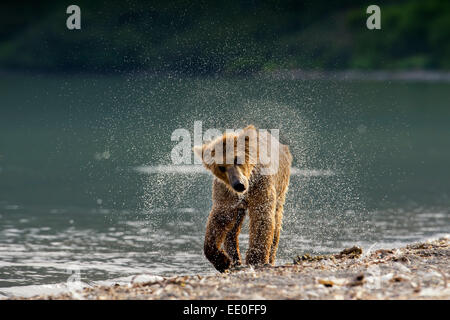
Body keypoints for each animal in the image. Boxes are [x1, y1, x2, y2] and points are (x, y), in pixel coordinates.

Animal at [192, 125, 292, 272]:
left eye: (237, 159)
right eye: (221, 167)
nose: (238, 184)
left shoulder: (261, 186)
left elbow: (262, 218)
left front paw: (256, 259)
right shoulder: (227, 192)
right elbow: (220, 219)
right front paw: (222, 261)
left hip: (281, 187)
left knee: (276, 221)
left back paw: (270, 257)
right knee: (232, 230)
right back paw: (235, 260)